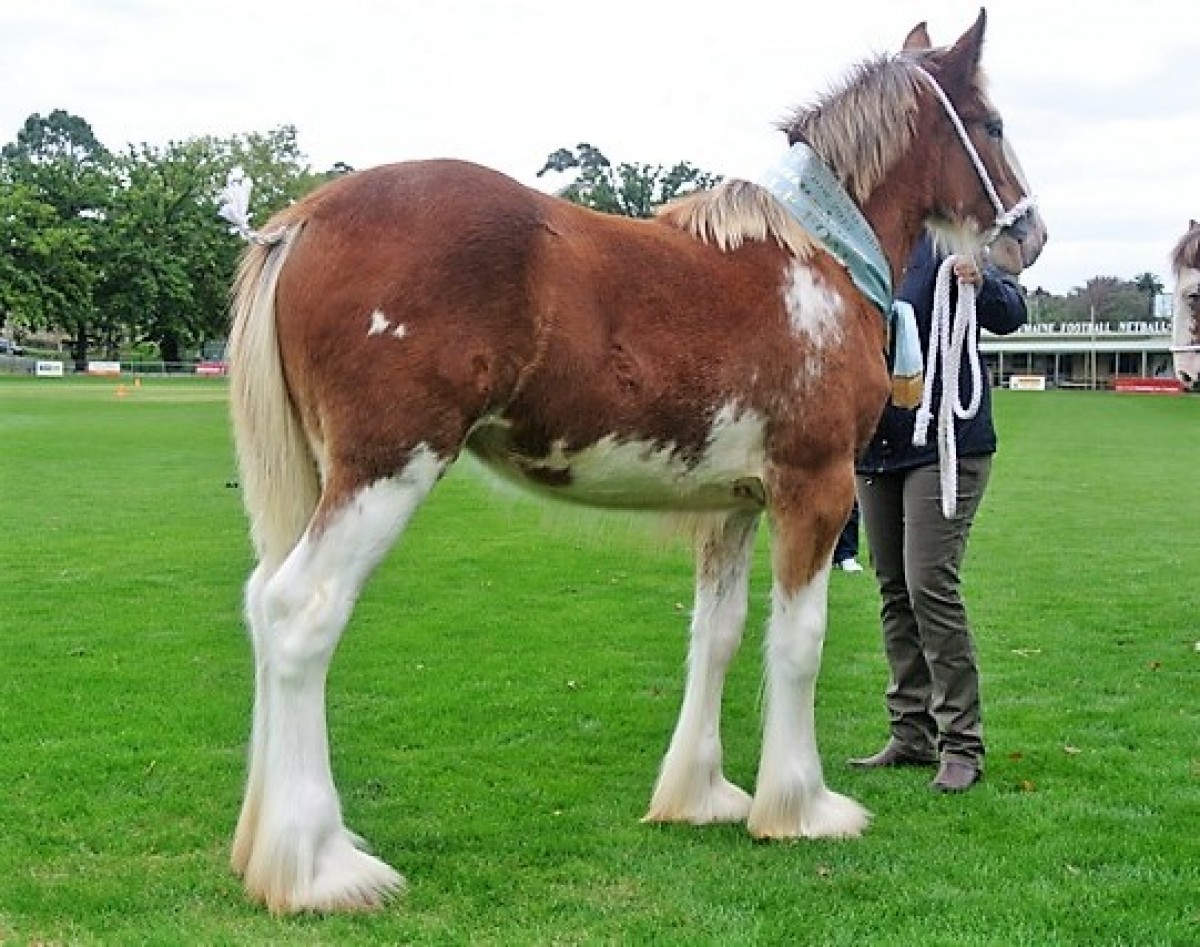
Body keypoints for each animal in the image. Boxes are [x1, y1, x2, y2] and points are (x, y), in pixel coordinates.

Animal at [224, 10, 1047, 913]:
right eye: (993, 124)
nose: (1032, 237)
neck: (817, 260)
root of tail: (302, 219)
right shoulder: (816, 490)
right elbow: (799, 642)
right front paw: (800, 807)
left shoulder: (734, 505)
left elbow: (717, 634)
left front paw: (702, 795)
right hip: (386, 469)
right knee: (301, 613)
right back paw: (317, 866)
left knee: (262, 604)